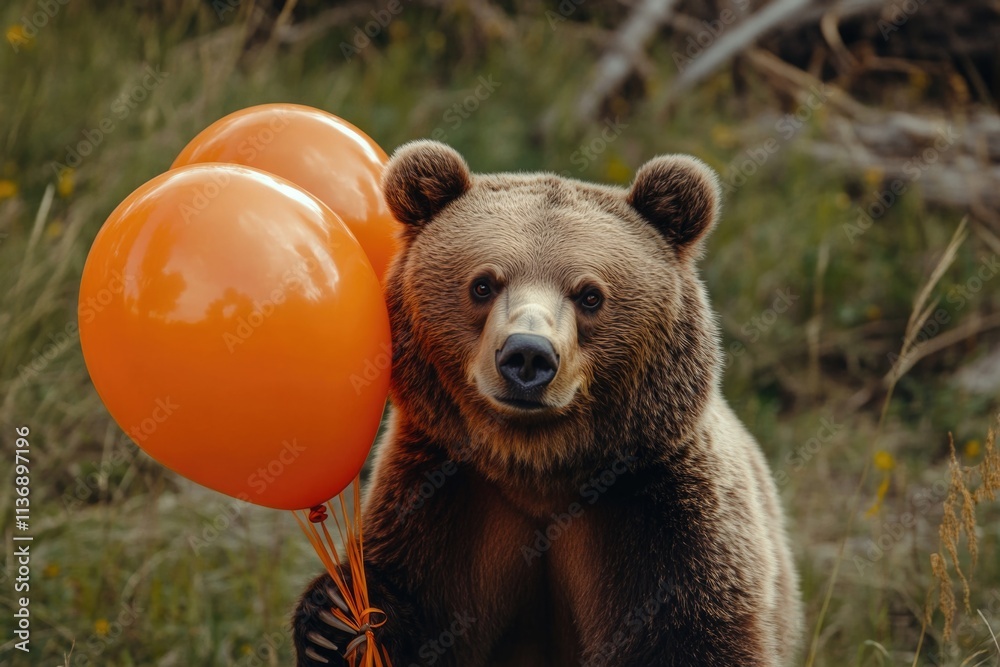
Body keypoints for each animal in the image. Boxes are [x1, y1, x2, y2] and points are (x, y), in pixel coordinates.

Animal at [293, 140, 803, 667]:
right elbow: (412, 600)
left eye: (591, 295)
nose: (527, 354)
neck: (538, 469)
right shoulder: (442, 496)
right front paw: (332, 622)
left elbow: (691, 635)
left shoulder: (663, 514)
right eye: (483, 284)